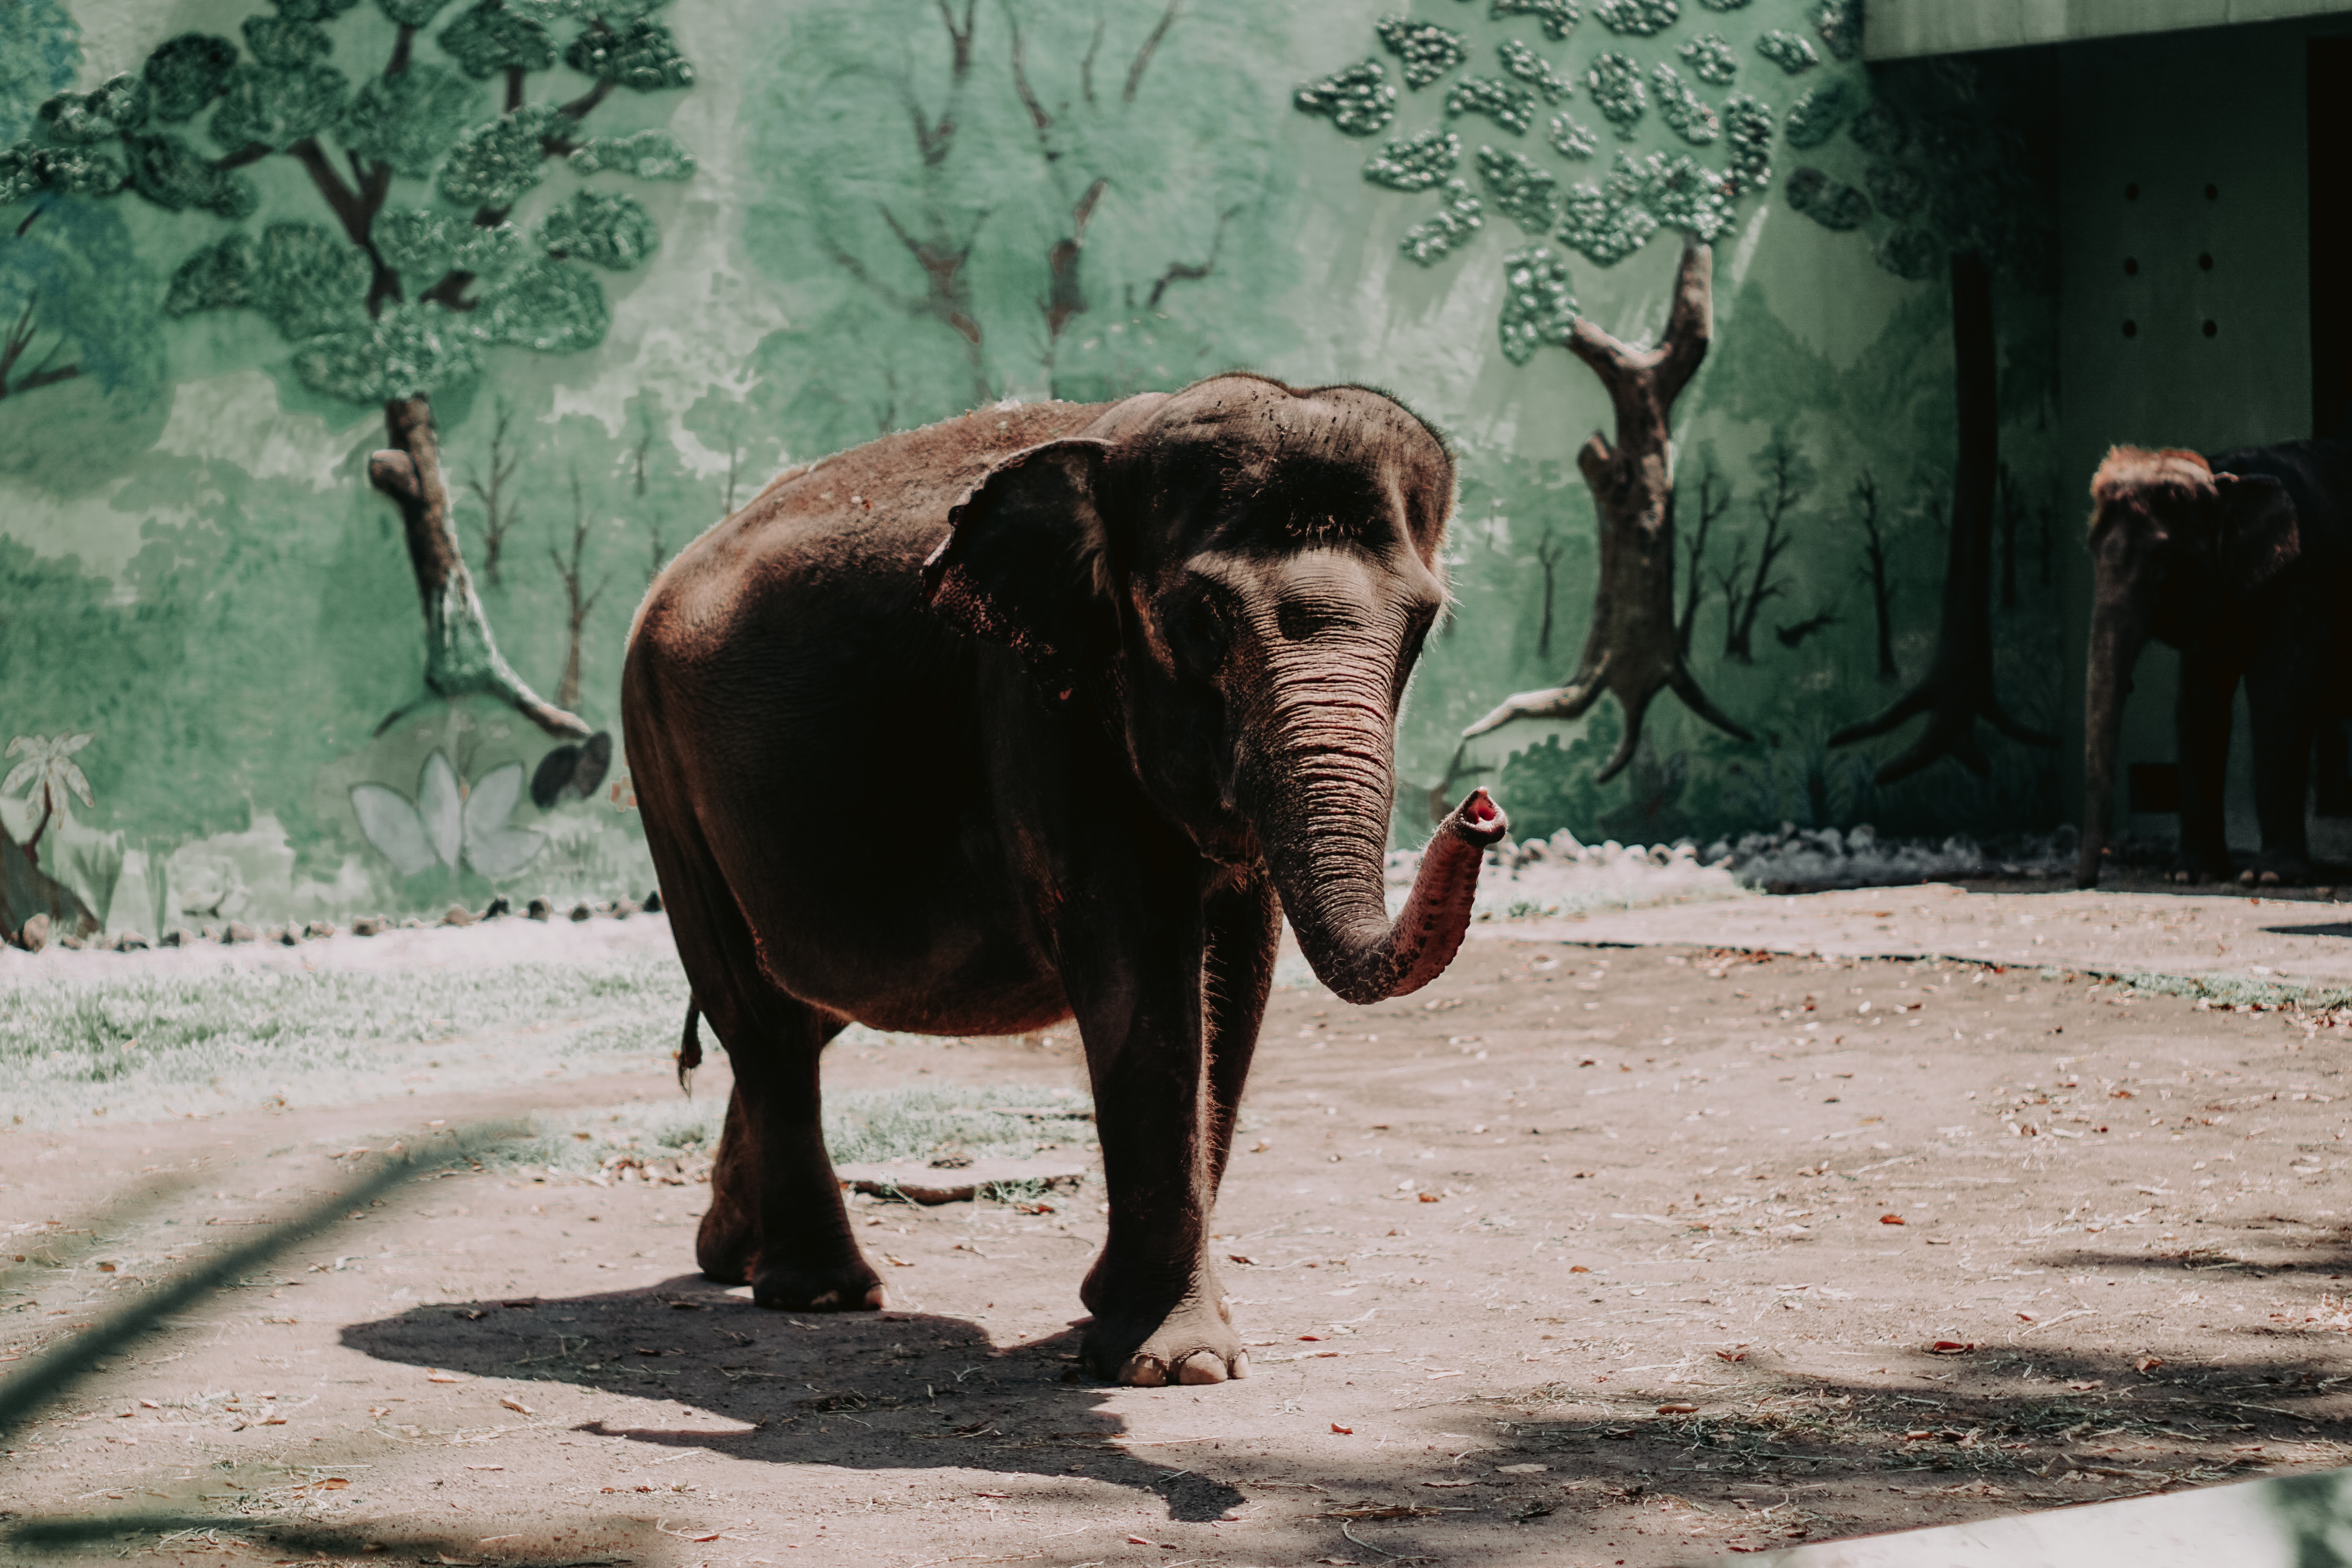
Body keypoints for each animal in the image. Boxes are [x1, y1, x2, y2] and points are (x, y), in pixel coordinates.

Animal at [621, 374, 1506, 1386]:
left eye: (1424, 621)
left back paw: (731, 1257)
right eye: (1203, 619)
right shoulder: (1038, 704)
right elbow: (1137, 963)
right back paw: (822, 1293)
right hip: (660, 764)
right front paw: (1172, 1365)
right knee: (756, 1012)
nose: (1482, 808)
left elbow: (1235, 975)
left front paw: (1115, 1314)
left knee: (801, 1011)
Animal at [2077, 440, 2352, 888]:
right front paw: (2189, 875)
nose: (2088, 881)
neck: (2226, 477)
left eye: (2164, 558)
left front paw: (2271, 877)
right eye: (2093, 549)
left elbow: (2281, 693)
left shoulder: (2300, 576)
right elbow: (2198, 700)